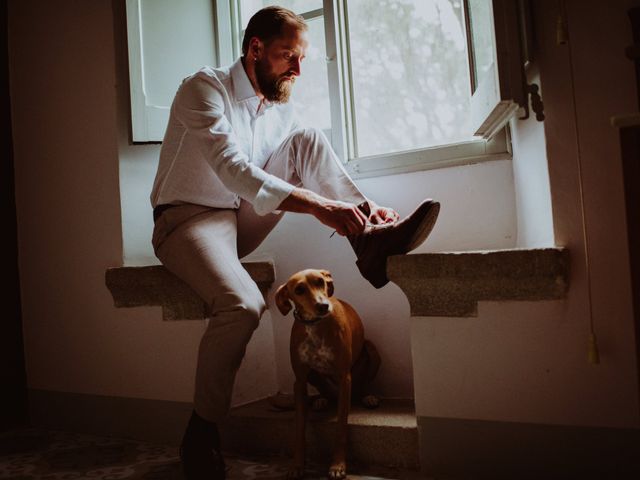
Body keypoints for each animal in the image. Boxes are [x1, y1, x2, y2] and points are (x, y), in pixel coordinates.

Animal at [276, 268, 380, 478]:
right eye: (299, 290)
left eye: (320, 282)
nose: (323, 306)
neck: (314, 326)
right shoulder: (299, 381)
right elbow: (299, 430)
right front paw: (297, 465)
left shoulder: (344, 377)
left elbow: (341, 428)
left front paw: (338, 465)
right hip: (313, 377)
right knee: (325, 394)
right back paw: (321, 401)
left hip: (371, 350)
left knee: (363, 386)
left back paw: (368, 396)